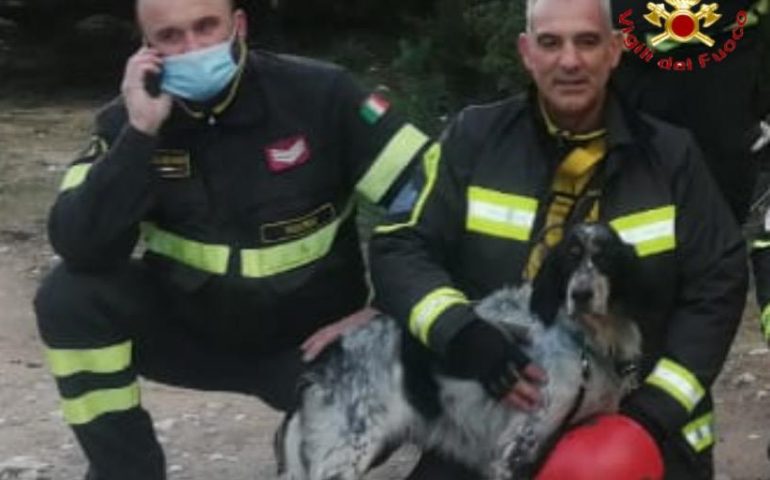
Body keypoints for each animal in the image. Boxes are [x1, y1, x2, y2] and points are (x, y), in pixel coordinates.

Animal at [276, 222, 640, 480]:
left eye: (605, 257)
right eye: (569, 257)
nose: (581, 294)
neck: (581, 338)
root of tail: (323, 363)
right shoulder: (518, 447)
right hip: (344, 455)